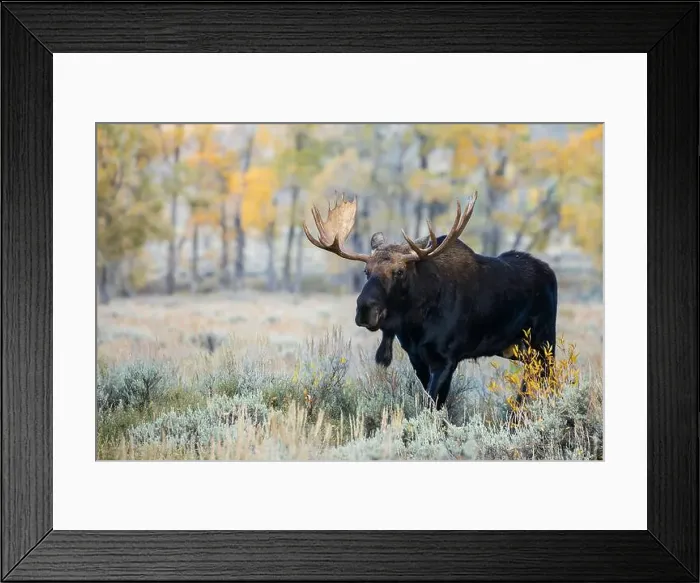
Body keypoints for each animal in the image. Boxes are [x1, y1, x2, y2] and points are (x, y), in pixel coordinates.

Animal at [302, 193, 558, 409]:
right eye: (366, 271)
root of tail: (550, 273)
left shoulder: (446, 359)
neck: (415, 323)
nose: (365, 310)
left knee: (549, 381)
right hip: (516, 349)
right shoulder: (416, 357)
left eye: (399, 272)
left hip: (544, 342)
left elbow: (433, 404)